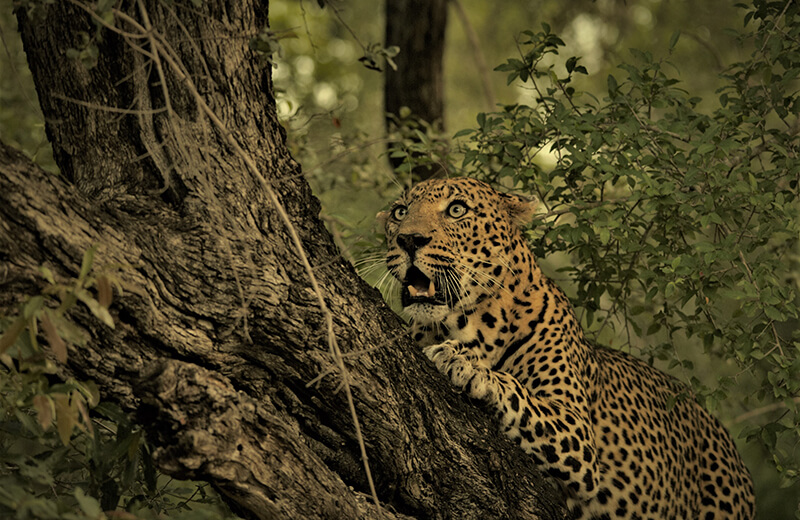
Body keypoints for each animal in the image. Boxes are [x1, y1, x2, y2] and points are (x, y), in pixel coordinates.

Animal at [378, 177, 756, 520]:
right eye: (400, 212)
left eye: (457, 210)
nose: (409, 239)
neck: (468, 323)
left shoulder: (576, 430)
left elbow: (518, 394)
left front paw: (465, 364)